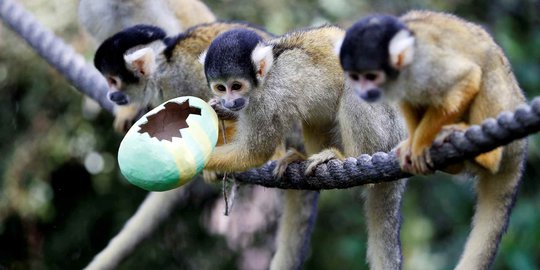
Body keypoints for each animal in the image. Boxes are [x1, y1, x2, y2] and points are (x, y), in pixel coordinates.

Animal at [200, 26, 408, 270]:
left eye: (236, 86)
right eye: (221, 88)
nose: (230, 102)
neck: (265, 77)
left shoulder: (270, 98)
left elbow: (255, 151)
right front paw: (221, 111)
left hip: (388, 125)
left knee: (353, 87)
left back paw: (346, 156)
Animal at [338, 10, 528, 268]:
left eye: (371, 76)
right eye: (355, 77)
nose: (363, 92)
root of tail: (519, 151)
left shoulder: (424, 65)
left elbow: (467, 79)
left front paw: (419, 146)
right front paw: (411, 145)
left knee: (487, 73)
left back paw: (486, 156)